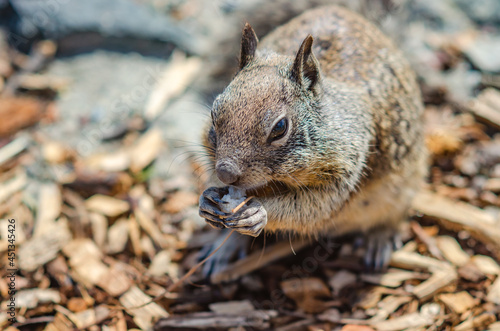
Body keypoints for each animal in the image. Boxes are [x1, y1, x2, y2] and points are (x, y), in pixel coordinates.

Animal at [198, 5, 426, 272]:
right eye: (214, 113)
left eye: (280, 128)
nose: (226, 173)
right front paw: (206, 201)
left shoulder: (344, 170)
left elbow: (314, 207)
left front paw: (259, 212)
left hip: (403, 188)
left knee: (392, 218)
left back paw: (379, 240)